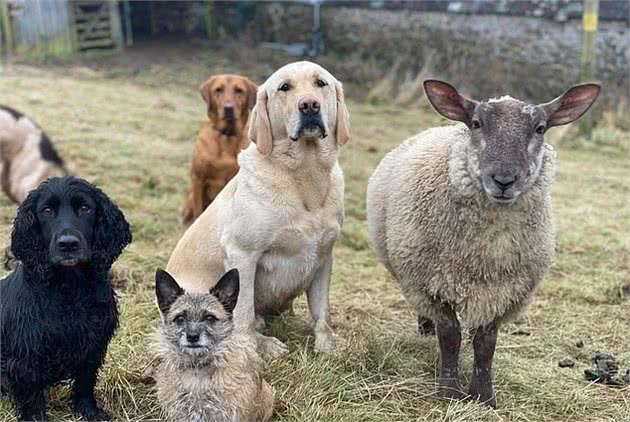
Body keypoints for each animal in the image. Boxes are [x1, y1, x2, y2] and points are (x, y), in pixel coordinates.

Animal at [0, 176, 131, 420]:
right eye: (47, 210)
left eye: (85, 208)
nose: (68, 244)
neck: (70, 289)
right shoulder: (25, 357)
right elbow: (31, 396)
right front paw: (34, 417)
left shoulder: (92, 346)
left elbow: (85, 382)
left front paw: (90, 411)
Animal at [183, 73, 260, 224]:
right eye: (218, 90)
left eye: (239, 90)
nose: (228, 108)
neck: (227, 136)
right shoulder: (198, 178)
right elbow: (198, 211)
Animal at [368, 81, 604, 408]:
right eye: (477, 123)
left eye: (540, 128)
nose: (504, 180)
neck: (485, 255)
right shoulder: (432, 285)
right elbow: (450, 337)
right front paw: (449, 392)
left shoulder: (503, 293)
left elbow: (485, 342)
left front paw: (483, 396)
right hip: (412, 278)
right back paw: (425, 330)